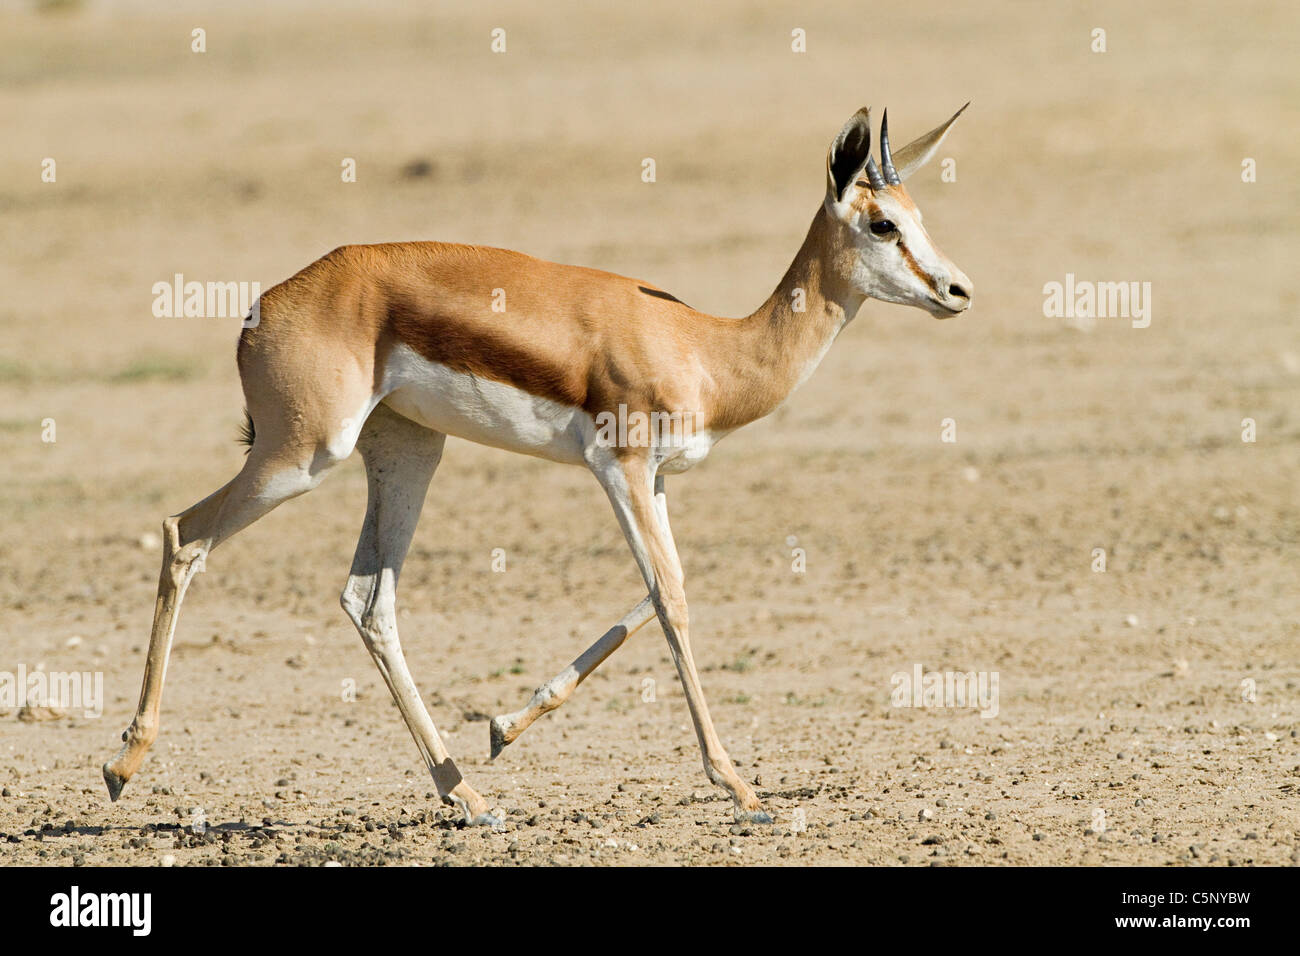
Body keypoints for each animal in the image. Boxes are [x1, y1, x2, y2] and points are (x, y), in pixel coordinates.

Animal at [104, 105, 972, 826]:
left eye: (920, 217)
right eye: (883, 223)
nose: (958, 289)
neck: (708, 348)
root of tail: (264, 307)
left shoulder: (654, 479)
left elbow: (661, 591)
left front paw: (500, 727)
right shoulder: (618, 466)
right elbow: (672, 599)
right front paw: (740, 788)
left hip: (408, 451)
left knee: (367, 600)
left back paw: (470, 796)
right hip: (303, 456)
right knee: (184, 535)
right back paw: (123, 764)